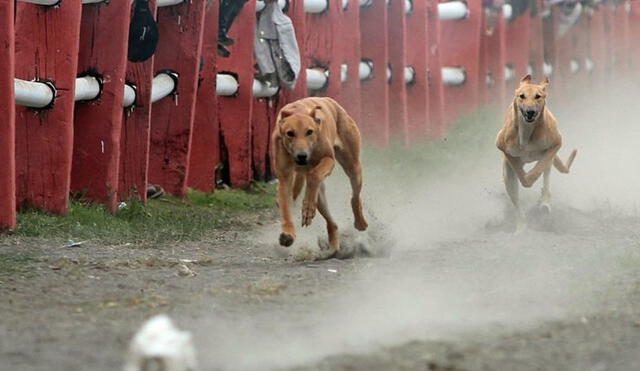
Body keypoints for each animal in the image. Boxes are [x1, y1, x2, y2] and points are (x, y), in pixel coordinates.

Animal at [272, 97, 370, 254]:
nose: (301, 156)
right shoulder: (285, 177)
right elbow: (285, 204)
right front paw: (288, 233)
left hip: (353, 167)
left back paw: (360, 222)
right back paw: (333, 246)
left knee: (355, 197)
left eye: (309, 132)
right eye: (290, 133)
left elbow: (315, 174)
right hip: (321, 196)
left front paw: (307, 207)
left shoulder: (328, 160)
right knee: (332, 222)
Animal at [498, 74, 576, 231]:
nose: (530, 112)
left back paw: (544, 203)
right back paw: (521, 227)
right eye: (522, 96)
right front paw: (524, 176)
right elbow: (518, 168)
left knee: (546, 176)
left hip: (549, 159)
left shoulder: (555, 144)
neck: (527, 132)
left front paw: (531, 178)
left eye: (538, 96)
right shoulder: (502, 146)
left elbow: (538, 169)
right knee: (516, 199)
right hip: (508, 177)